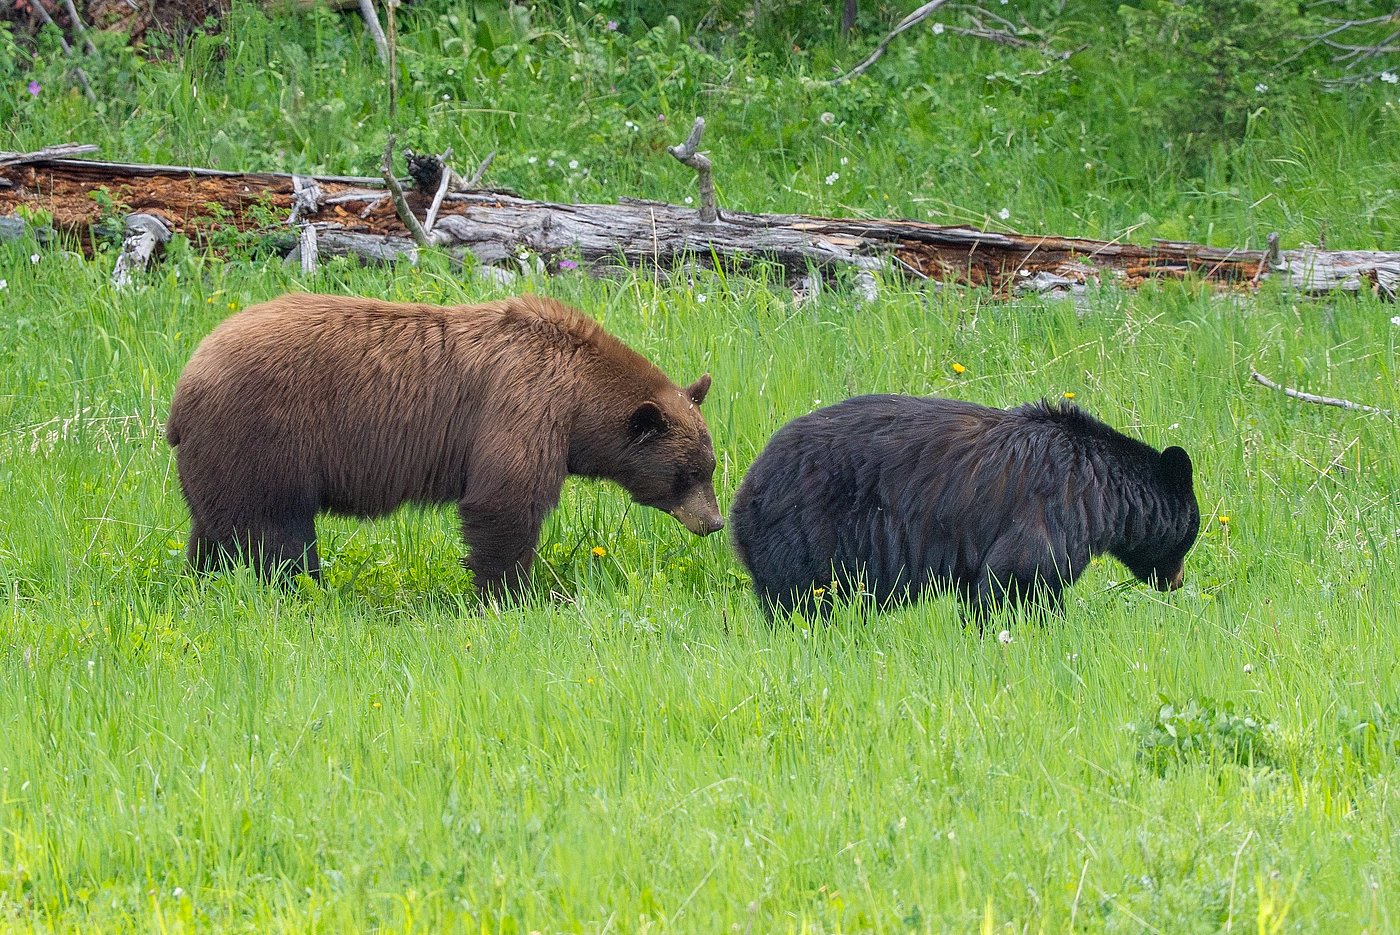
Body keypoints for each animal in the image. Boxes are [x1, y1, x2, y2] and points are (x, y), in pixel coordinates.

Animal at [166, 292, 724, 600]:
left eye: (710, 466)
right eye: (689, 472)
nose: (715, 522)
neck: (580, 399)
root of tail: (187, 381)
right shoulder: (525, 402)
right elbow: (504, 501)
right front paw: (515, 594)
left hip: (217, 460)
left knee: (214, 530)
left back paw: (202, 582)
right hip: (263, 440)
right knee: (276, 533)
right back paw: (305, 591)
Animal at [729, 395, 1199, 621]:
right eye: (1190, 536)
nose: (1176, 582)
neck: (1099, 487)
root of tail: (745, 489)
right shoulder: (1051, 508)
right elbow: (1018, 577)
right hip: (807, 531)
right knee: (800, 600)